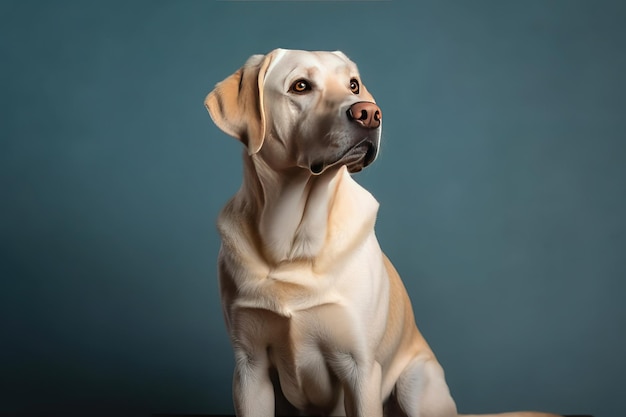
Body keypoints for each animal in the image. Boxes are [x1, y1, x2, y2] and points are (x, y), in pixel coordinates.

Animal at [205, 49, 560, 416]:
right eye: (300, 86)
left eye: (353, 84)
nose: (369, 113)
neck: (292, 242)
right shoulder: (250, 369)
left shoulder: (360, 368)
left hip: (416, 383)